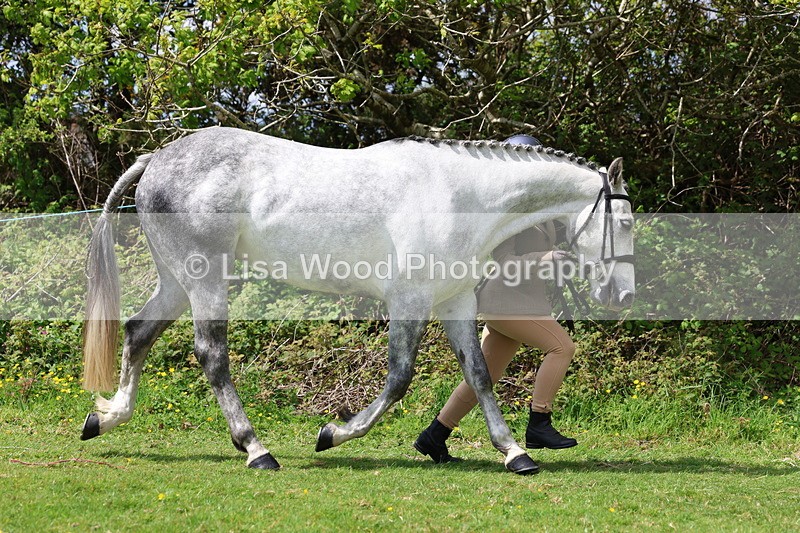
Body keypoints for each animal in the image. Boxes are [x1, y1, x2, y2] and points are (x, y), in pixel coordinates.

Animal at [80, 127, 635, 474]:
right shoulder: (409, 299)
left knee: (138, 331)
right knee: (212, 355)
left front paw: (515, 452)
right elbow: (398, 379)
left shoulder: (455, 301)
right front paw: (333, 433)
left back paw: (106, 417)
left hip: (177, 281)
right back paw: (257, 450)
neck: (458, 194)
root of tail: (157, 159)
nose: (623, 295)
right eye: (626, 222)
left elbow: (478, 375)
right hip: (205, 279)